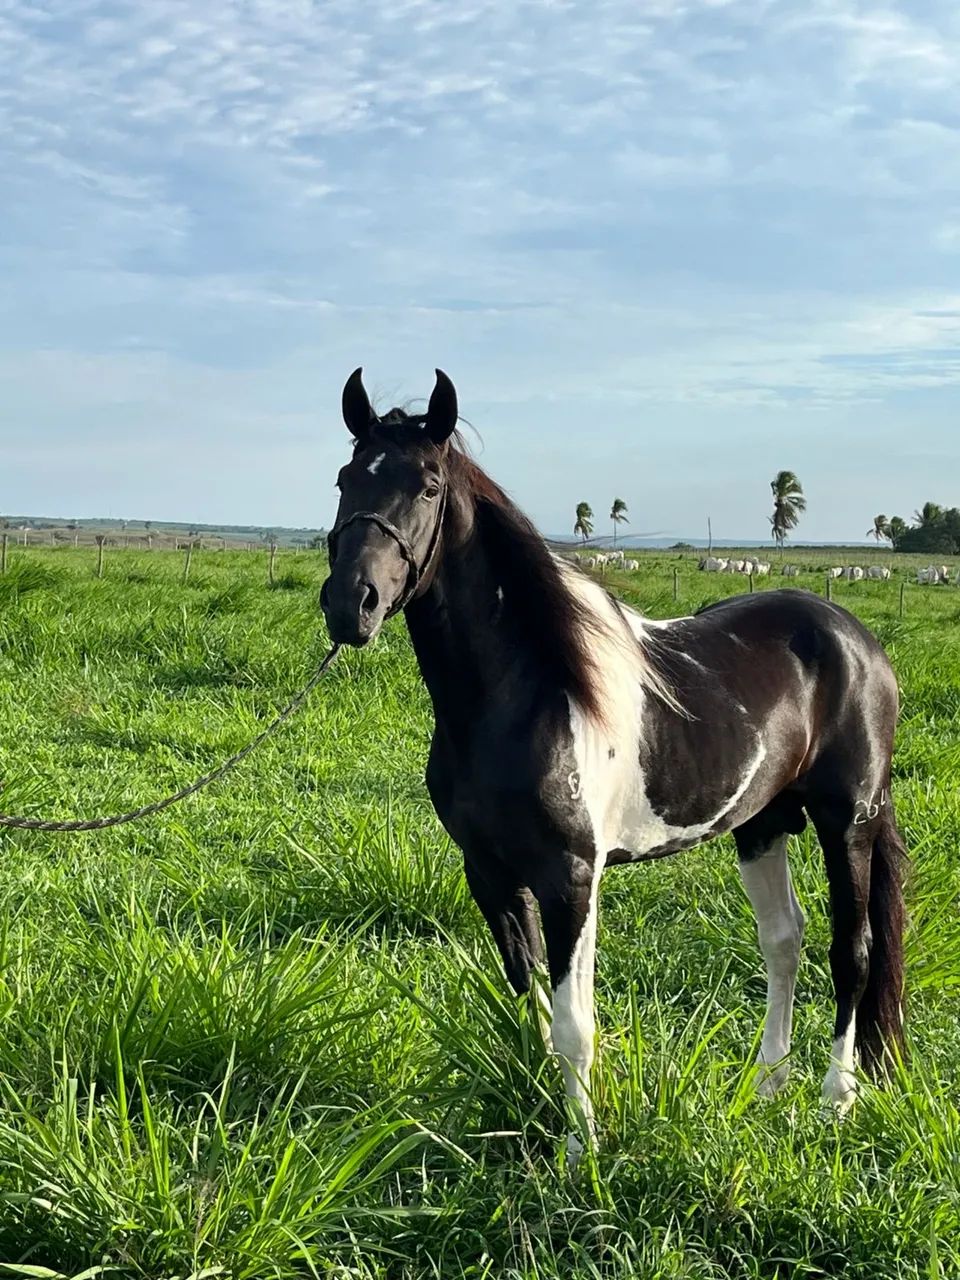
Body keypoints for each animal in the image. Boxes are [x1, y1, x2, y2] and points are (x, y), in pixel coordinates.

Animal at [321, 368, 908, 1163]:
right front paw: (540, 1120)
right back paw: (766, 1090)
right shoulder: (490, 873)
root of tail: (856, 638)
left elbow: (575, 1024)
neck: (525, 694)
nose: (350, 604)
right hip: (760, 825)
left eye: (428, 487)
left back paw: (834, 1100)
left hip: (848, 821)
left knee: (854, 950)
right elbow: (533, 1008)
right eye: (345, 478)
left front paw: (580, 1154)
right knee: (784, 943)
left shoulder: (571, 874)